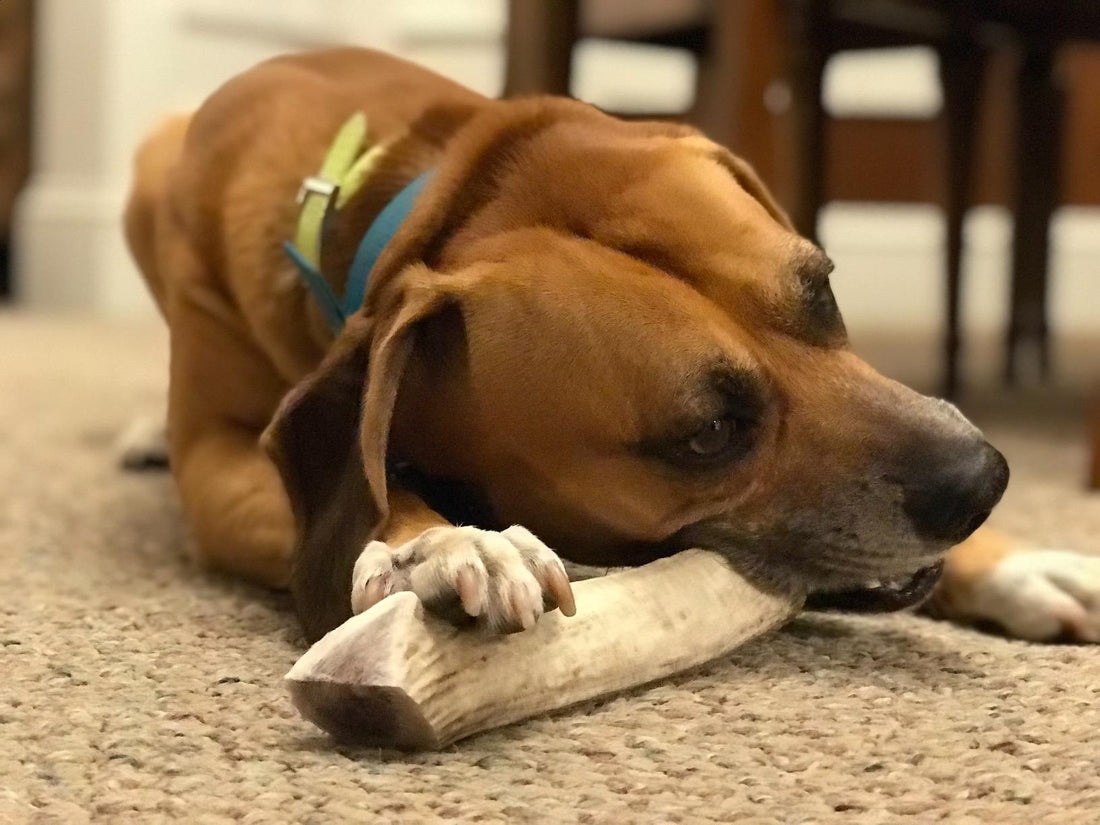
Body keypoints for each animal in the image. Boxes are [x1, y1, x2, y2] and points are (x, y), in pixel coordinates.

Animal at [124, 48, 1095, 646]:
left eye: (822, 290)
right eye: (708, 435)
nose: (983, 479)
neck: (434, 198)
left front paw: (1016, 564)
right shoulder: (218, 465)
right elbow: (360, 487)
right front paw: (440, 544)